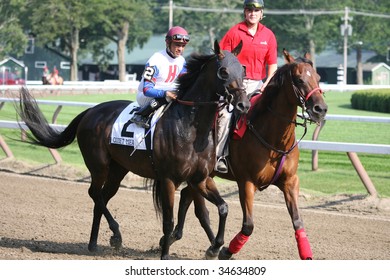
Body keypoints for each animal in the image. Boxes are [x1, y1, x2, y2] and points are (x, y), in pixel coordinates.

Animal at [16, 40, 250, 260]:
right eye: (223, 71)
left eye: (243, 70)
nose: (243, 105)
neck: (191, 128)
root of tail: (90, 111)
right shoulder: (169, 179)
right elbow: (168, 220)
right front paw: (165, 254)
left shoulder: (200, 178)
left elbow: (223, 207)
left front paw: (216, 247)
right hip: (98, 165)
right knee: (95, 193)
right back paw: (116, 234)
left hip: (118, 169)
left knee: (102, 197)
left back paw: (94, 243)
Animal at [166, 48, 328, 260]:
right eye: (299, 79)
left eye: (318, 77)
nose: (321, 109)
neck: (273, 140)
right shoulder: (247, 182)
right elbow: (248, 226)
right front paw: (225, 251)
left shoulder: (290, 182)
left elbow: (298, 222)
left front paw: (307, 254)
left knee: (186, 195)